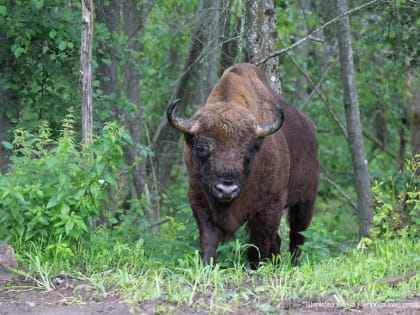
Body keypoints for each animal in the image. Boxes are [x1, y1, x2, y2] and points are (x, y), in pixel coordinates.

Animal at [167, 63, 318, 268]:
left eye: (249, 150)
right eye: (201, 148)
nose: (226, 189)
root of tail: (310, 129)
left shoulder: (269, 207)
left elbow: (258, 244)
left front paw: (256, 267)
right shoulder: (199, 202)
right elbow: (208, 240)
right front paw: (207, 266)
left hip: (306, 201)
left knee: (297, 237)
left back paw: (292, 265)